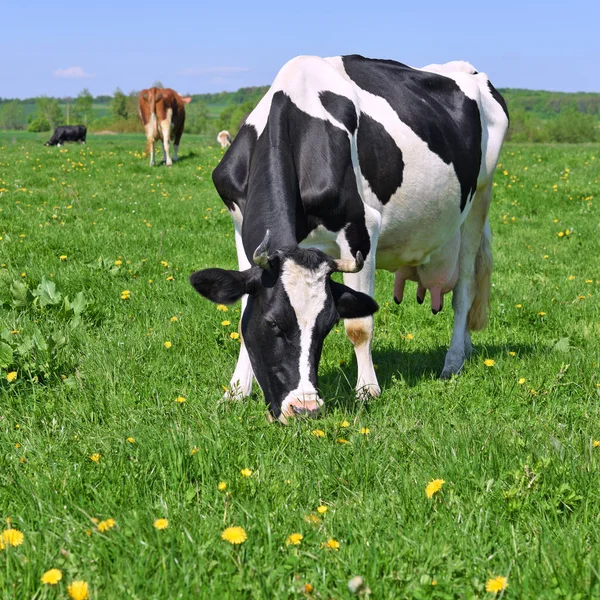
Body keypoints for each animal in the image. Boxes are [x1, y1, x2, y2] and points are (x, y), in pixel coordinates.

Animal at [190, 55, 508, 422]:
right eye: (272, 324)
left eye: (326, 326)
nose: (305, 408)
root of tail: (469, 69)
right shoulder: (240, 227)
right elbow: (243, 311)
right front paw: (236, 392)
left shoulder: (361, 229)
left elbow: (360, 326)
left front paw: (367, 390)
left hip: (480, 198)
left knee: (465, 289)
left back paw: (454, 361)